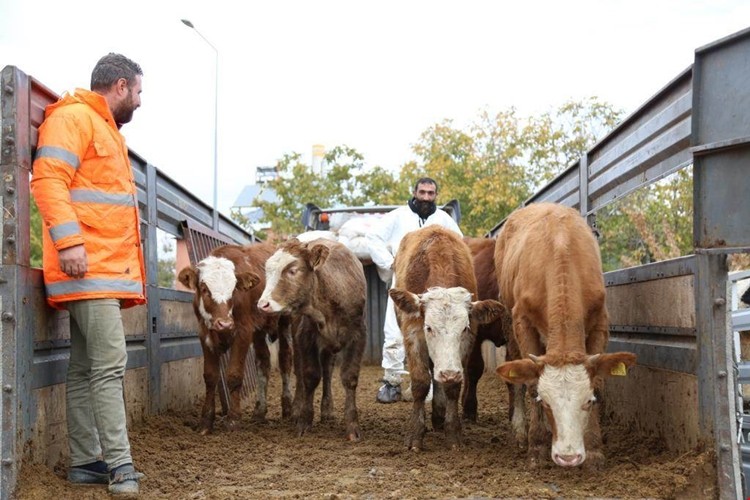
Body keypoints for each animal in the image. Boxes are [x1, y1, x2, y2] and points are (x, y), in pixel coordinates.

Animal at [177, 244, 294, 436]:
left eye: (233, 290)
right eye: (204, 289)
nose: (224, 323)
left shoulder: (243, 332)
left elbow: (234, 374)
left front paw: (233, 420)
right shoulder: (205, 334)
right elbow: (210, 376)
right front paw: (206, 422)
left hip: (285, 321)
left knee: (285, 359)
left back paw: (288, 408)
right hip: (258, 330)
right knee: (263, 362)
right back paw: (259, 412)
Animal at [258, 236, 368, 440]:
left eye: (293, 270)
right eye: (268, 271)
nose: (263, 304)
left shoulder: (358, 336)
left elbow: (349, 377)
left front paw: (352, 427)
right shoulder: (305, 336)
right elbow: (309, 376)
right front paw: (304, 421)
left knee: (328, 370)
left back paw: (327, 410)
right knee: (300, 371)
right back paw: (296, 409)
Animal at [388, 225, 506, 452]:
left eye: (464, 328)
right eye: (428, 327)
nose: (449, 373)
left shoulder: (469, 342)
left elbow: (453, 386)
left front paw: (453, 433)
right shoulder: (413, 334)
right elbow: (420, 383)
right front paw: (415, 434)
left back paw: (439, 416)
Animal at [496, 203, 636, 468]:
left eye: (588, 401)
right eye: (545, 402)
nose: (568, 457)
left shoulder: (600, 320)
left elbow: (598, 381)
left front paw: (594, 450)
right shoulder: (522, 320)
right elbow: (531, 384)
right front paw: (537, 446)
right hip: (508, 321)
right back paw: (520, 431)